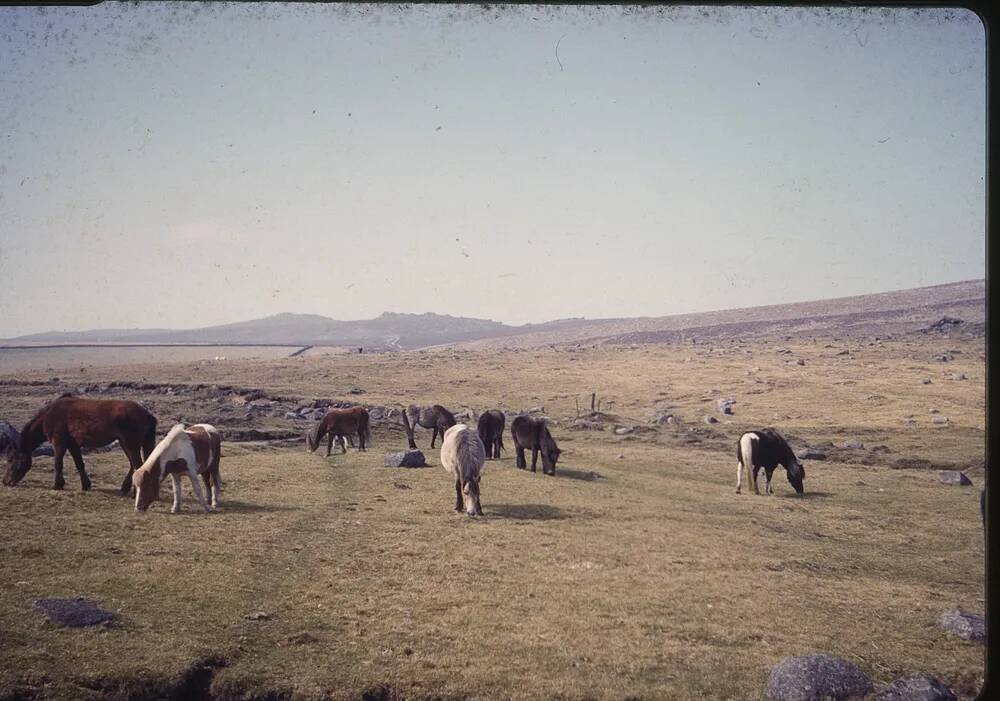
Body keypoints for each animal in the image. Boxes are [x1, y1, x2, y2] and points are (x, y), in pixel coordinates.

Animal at [3, 392, 158, 494]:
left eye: (11, 459)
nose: (5, 482)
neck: (49, 416)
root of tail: (147, 414)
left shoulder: (59, 442)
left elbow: (58, 463)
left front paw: (57, 485)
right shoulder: (72, 444)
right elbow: (79, 463)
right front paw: (86, 485)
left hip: (130, 443)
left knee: (137, 464)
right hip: (127, 443)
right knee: (135, 464)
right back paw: (126, 488)